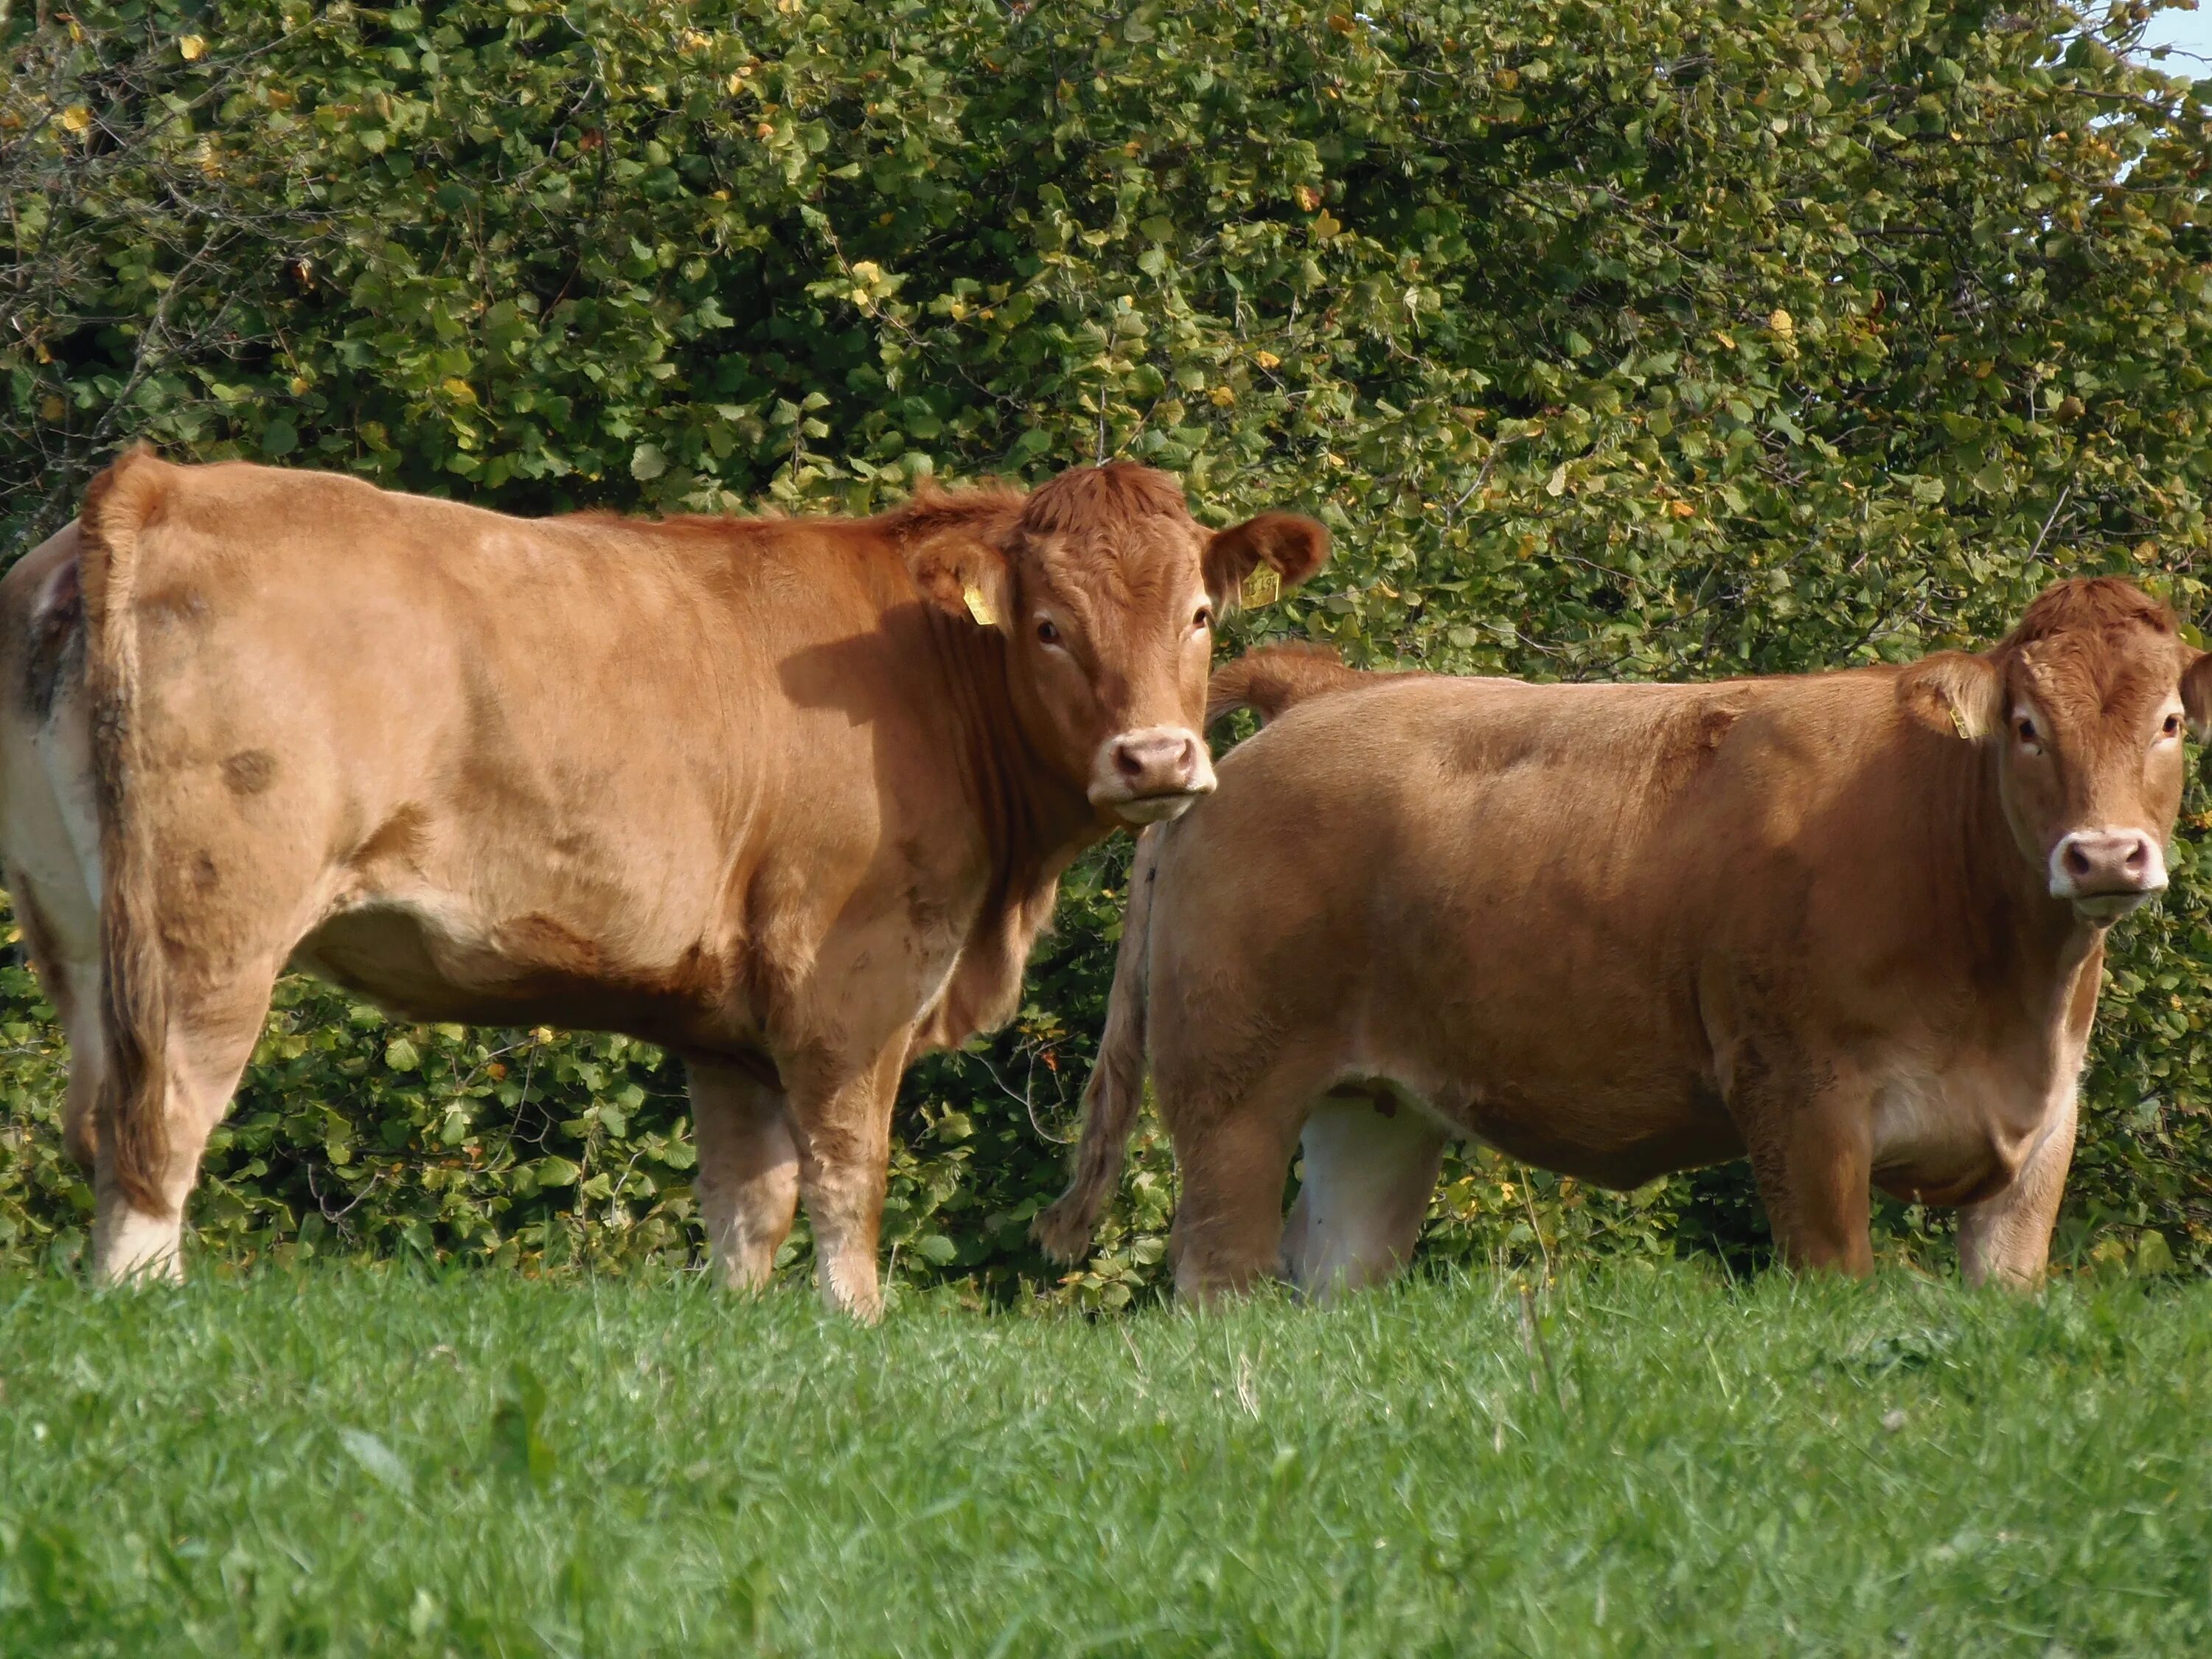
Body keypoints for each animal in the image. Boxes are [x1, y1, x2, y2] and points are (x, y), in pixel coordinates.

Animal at [0, 445, 1327, 1310]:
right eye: (1049, 626)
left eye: (1200, 612)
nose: (1156, 757)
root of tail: (160, 481)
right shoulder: (852, 976)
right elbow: (848, 1176)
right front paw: (855, 1325)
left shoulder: (726, 1020)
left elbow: (750, 1202)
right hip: (210, 922)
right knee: (163, 1117)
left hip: (75, 922)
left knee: (97, 1116)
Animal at [1035, 580, 2212, 1301]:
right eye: (2026, 726)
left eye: (2169, 724)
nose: (2105, 857)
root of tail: (1329, 691)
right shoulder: (1801, 1099)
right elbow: (1834, 1273)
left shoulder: (2044, 1127)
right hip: (1231, 1088)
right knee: (1220, 1269)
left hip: (1374, 1110)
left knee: (1332, 1266)